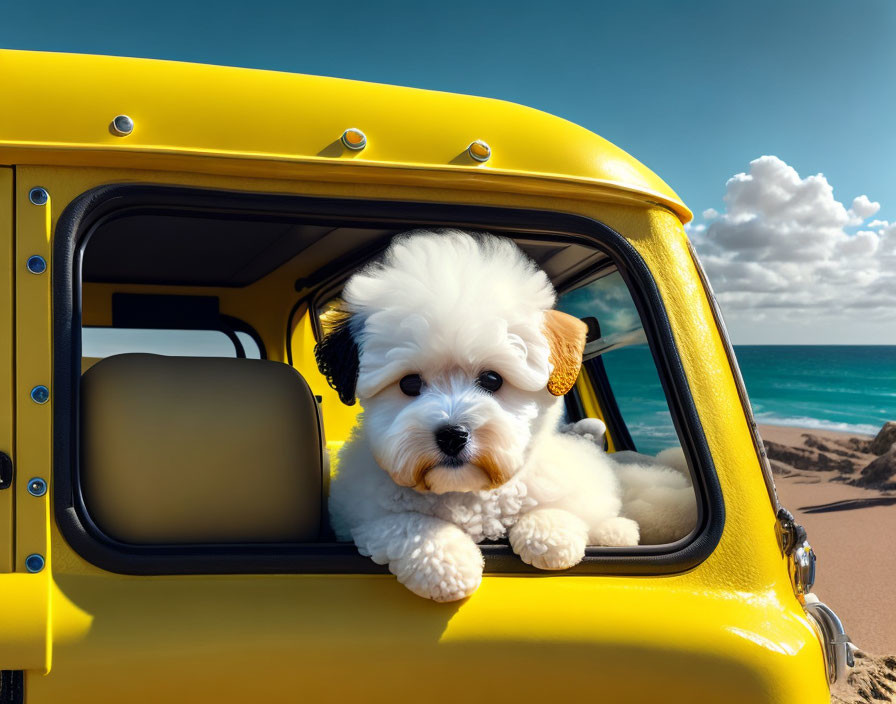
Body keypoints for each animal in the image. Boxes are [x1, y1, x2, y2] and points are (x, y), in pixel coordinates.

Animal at [318, 232, 696, 604]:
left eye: (492, 379)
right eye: (409, 384)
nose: (452, 435)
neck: (467, 492)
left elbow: (557, 509)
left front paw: (549, 535)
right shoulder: (360, 516)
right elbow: (405, 524)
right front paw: (447, 563)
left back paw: (616, 531)